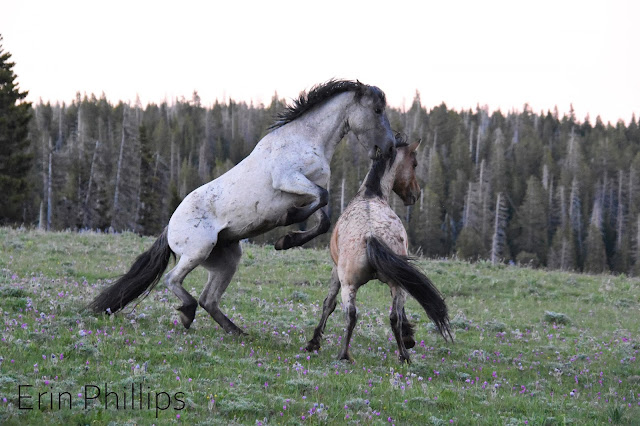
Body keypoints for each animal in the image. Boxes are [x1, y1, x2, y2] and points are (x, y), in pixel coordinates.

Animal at [91, 78, 396, 334]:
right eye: (377, 109)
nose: (391, 148)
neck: (306, 139)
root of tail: (169, 227)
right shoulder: (289, 180)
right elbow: (322, 198)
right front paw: (288, 222)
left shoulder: (308, 187)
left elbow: (323, 217)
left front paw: (287, 239)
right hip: (198, 251)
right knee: (173, 281)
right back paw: (188, 313)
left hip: (225, 260)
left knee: (209, 299)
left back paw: (235, 331)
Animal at [306, 139, 452, 362]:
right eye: (415, 164)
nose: (416, 194)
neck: (369, 195)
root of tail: (370, 235)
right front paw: (408, 337)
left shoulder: (335, 271)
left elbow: (328, 304)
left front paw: (314, 342)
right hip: (396, 283)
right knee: (394, 316)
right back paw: (403, 356)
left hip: (350, 285)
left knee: (352, 314)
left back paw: (344, 354)